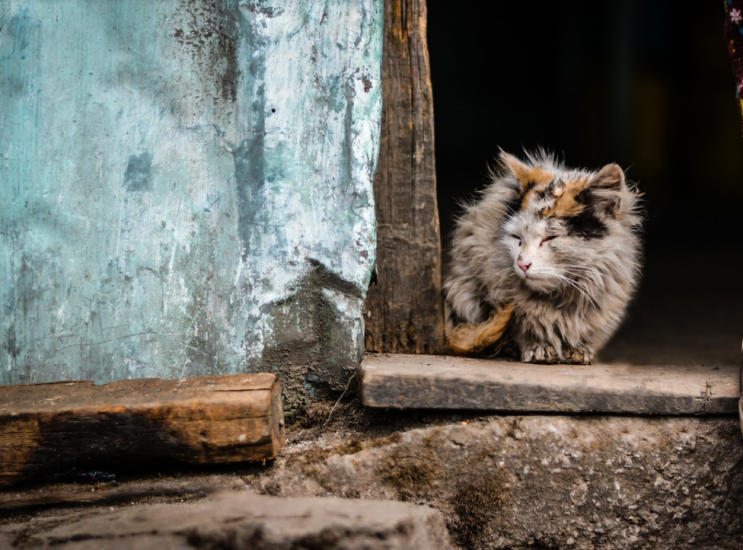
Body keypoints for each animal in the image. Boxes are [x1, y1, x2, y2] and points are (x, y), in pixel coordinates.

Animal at [444, 151, 644, 366]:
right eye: (517, 238)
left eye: (550, 238)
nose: (522, 264)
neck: (559, 299)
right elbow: (519, 328)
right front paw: (538, 348)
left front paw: (578, 350)